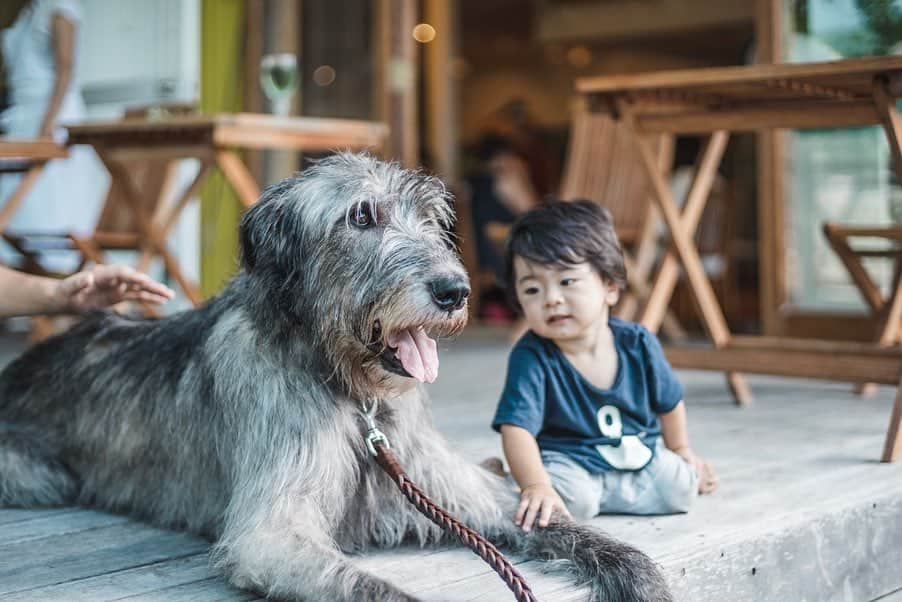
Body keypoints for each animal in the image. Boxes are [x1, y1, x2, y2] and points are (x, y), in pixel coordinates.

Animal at [0, 152, 676, 596]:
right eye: (360, 217)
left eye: (430, 218)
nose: (455, 291)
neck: (357, 396)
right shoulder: (273, 534)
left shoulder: (455, 492)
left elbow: (578, 532)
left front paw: (643, 578)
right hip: (40, 475)